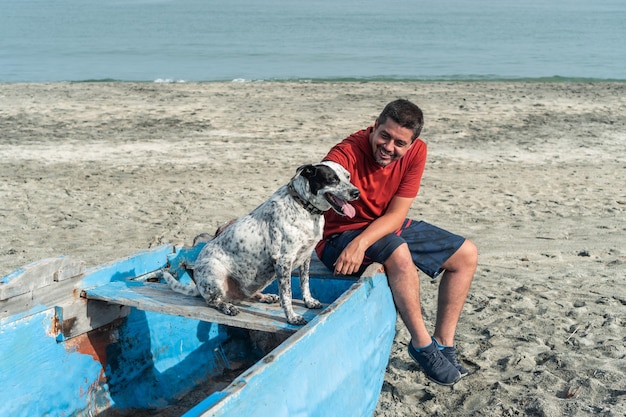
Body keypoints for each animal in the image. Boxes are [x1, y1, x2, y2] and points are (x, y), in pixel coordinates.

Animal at [161, 161, 358, 324]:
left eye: (348, 176)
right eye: (332, 179)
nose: (356, 192)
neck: (304, 207)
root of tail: (198, 286)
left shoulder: (306, 256)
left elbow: (305, 284)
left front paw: (309, 302)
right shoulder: (283, 261)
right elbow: (287, 294)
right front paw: (292, 317)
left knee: (246, 295)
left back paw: (265, 297)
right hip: (214, 271)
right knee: (213, 300)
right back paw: (227, 307)